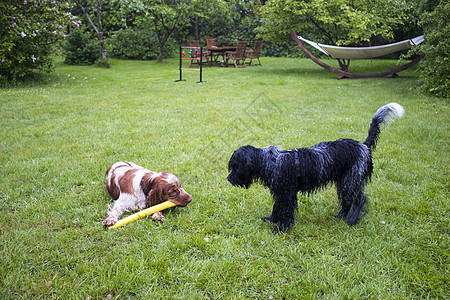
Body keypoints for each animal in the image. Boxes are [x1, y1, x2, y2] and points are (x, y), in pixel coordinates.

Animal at [229, 102, 404, 232]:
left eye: (235, 167)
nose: (229, 179)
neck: (270, 160)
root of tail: (363, 145)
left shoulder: (287, 194)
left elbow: (285, 211)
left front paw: (281, 228)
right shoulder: (281, 193)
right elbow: (277, 208)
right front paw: (272, 220)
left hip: (350, 181)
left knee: (360, 200)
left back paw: (352, 219)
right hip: (344, 182)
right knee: (347, 202)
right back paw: (340, 216)